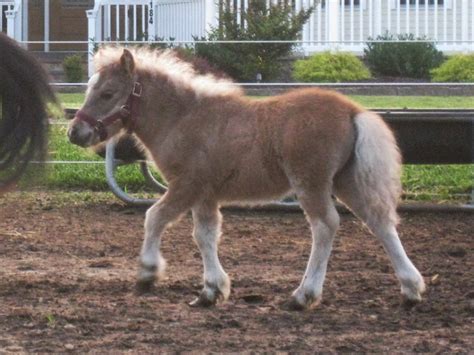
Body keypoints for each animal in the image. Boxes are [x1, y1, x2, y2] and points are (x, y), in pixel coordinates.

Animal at [67, 48, 426, 312]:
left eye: (107, 93)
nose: (75, 133)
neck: (183, 118)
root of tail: (353, 111)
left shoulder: (186, 185)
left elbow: (154, 218)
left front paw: (147, 274)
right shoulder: (206, 195)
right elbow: (206, 236)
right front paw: (212, 290)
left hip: (311, 183)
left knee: (325, 226)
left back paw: (303, 295)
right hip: (345, 181)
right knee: (379, 222)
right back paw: (410, 290)